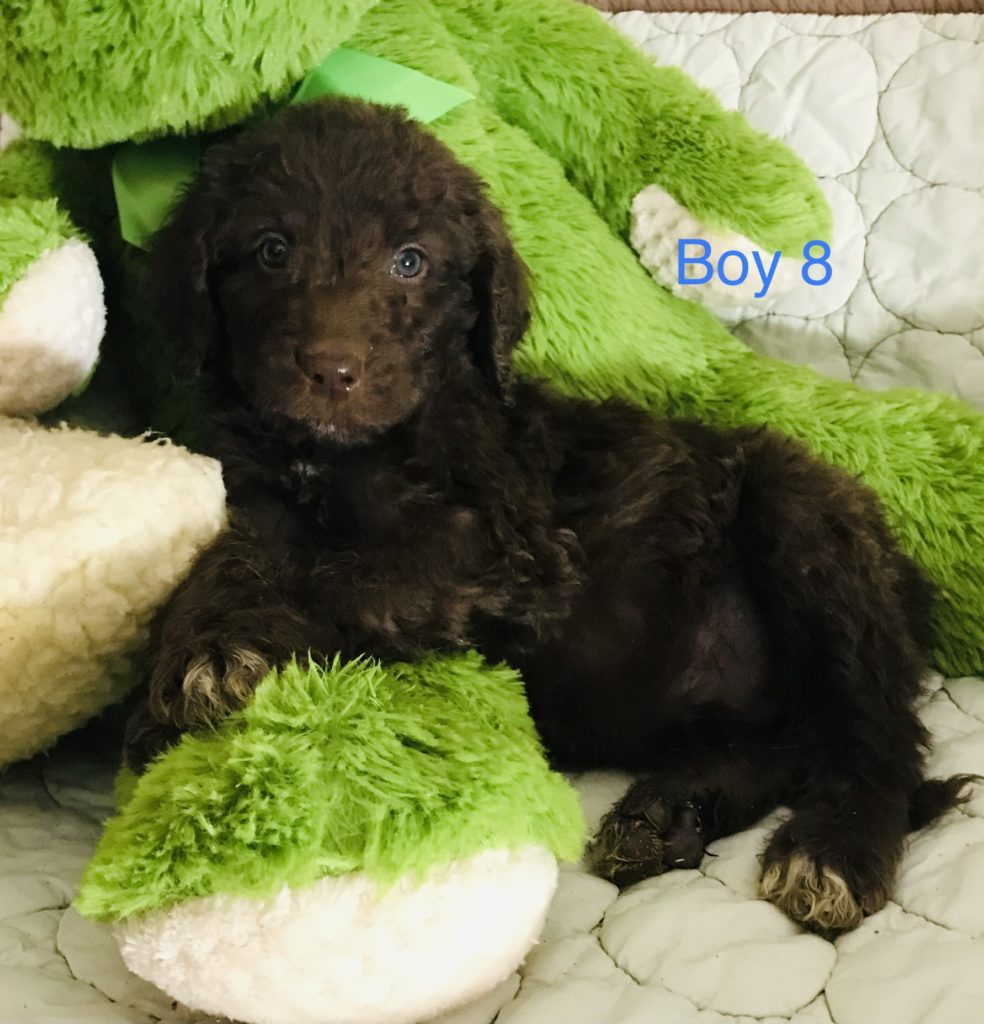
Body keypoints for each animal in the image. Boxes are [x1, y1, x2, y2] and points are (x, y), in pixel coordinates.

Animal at [128, 97, 966, 937]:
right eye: (271, 250)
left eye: (410, 261)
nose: (332, 372)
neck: (343, 451)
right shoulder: (259, 498)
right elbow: (232, 557)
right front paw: (194, 650)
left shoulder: (505, 550)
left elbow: (341, 572)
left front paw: (222, 654)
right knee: (785, 744)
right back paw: (668, 814)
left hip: (811, 531)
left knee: (875, 736)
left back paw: (833, 850)